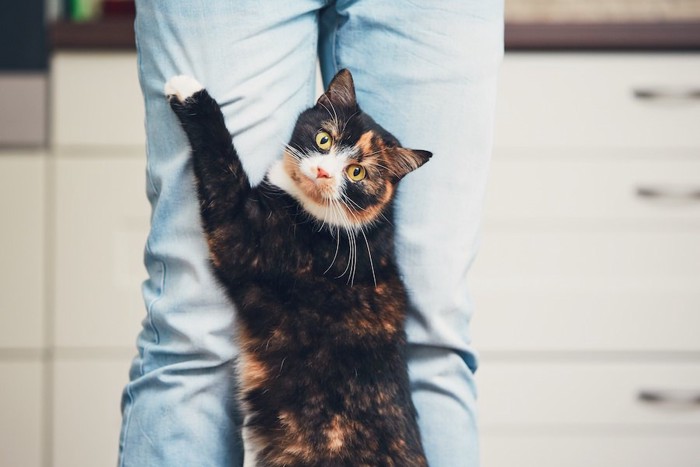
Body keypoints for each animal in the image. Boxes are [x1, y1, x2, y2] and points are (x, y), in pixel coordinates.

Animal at [165, 67, 432, 466]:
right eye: (323, 138)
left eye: (357, 172)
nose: (322, 171)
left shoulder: (243, 237)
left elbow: (222, 161)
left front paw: (190, 92)